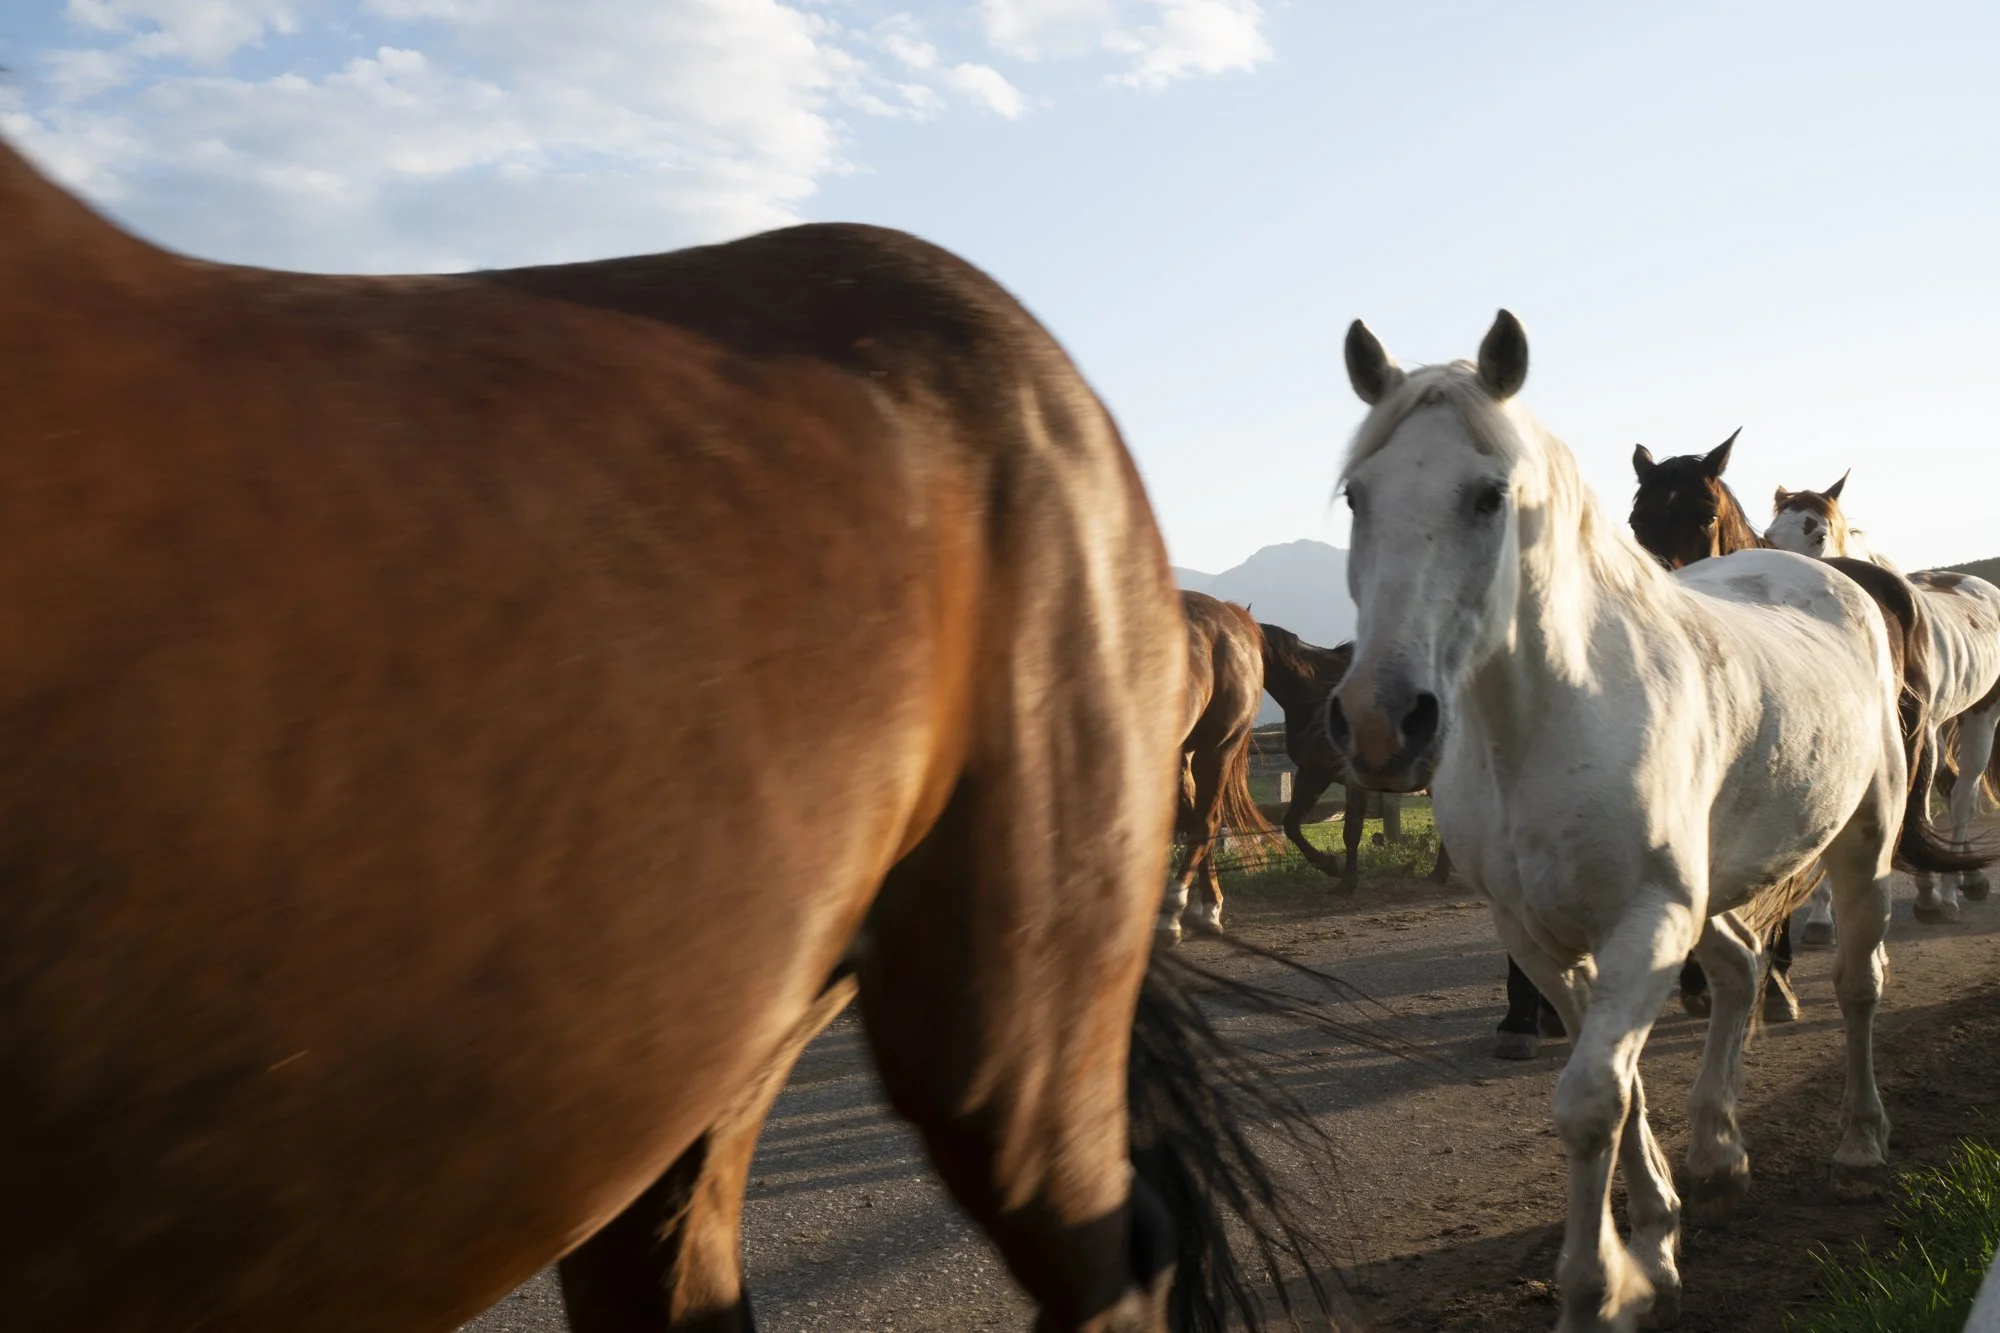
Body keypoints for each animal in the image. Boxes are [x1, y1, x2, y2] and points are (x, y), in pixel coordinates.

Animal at [1159, 592, 1283, 943]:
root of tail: (1229, 613)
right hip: (1183, 754)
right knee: (1196, 822)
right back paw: (1203, 908)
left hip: (1217, 750)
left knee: (1206, 824)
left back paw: (1179, 913)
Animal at [1257, 621, 1452, 894]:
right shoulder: (1314, 771)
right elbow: (1292, 823)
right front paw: (1331, 866)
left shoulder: (1354, 778)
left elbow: (1351, 829)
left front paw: (1347, 881)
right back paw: (1440, 873)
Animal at [1765, 478, 2000, 926]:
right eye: (1769, 537)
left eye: (1818, 535)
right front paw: (1821, 917)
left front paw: (1929, 895)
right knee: (1954, 787)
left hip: (1980, 715)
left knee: (1963, 795)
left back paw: (1951, 891)